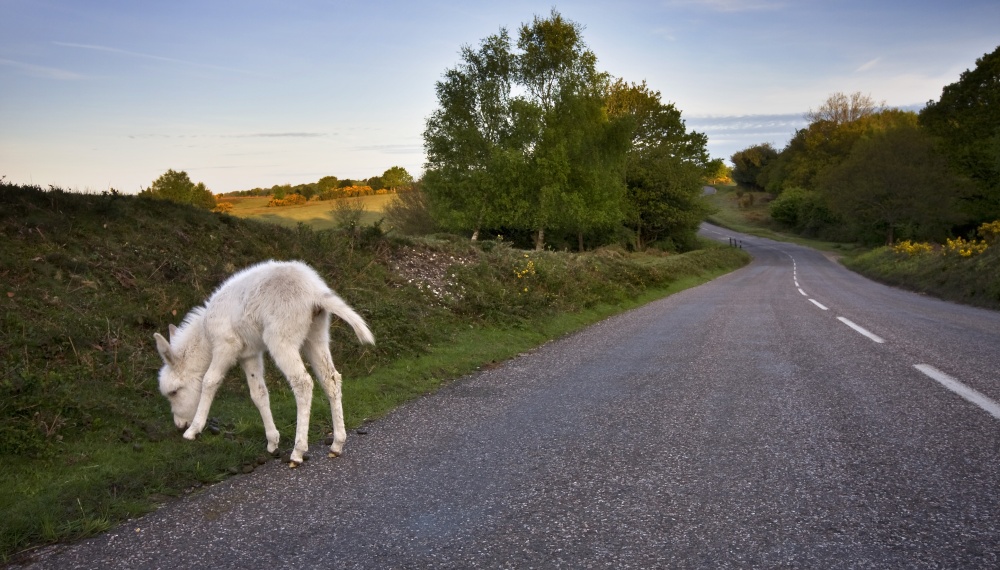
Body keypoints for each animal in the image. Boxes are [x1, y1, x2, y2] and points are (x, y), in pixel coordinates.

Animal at [152, 260, 376, 464]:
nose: (179, 424)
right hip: (316, 335)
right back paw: (337, 443)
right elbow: (258, 393)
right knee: (331, 379)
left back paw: (298, 451)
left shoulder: (226, 345)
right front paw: (272, 441)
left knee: (303, 383)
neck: (205, 337)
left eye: (174, 392)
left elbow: (209, 381)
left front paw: (193, 430)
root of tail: (315, 293)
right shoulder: (249, 354)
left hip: (281, 338)